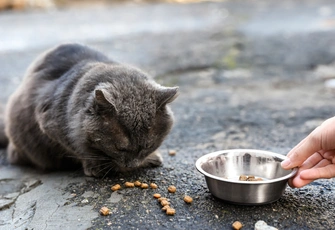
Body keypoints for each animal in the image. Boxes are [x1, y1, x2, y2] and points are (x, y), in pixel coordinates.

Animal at [0, 42, 178, 176]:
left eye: (148, 146)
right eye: (119, 148)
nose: (131, 165)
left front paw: (151, 157)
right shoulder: (51, 125)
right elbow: (79, 149)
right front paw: (96, 167)